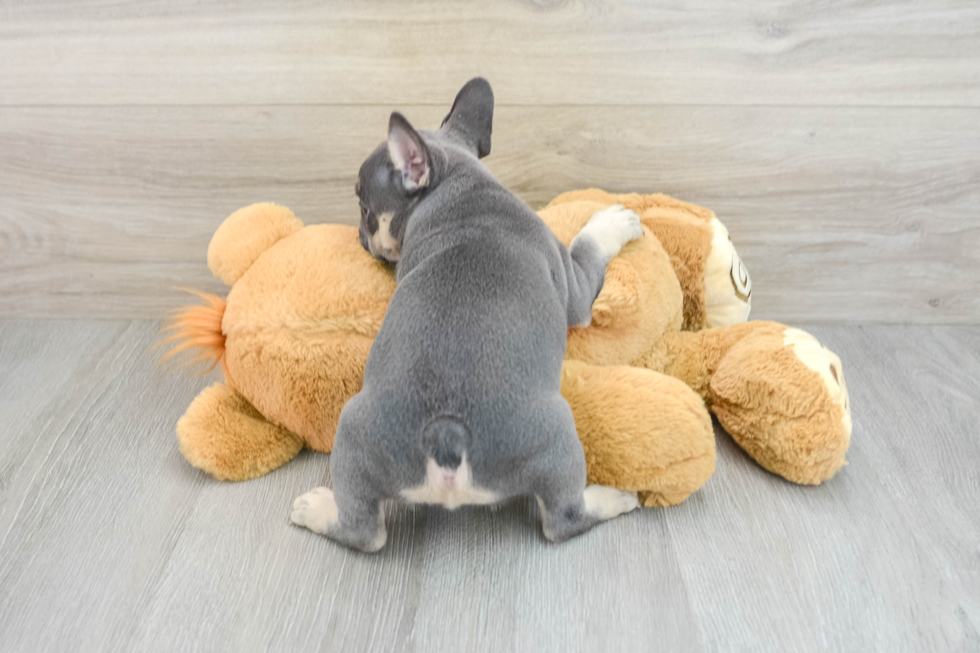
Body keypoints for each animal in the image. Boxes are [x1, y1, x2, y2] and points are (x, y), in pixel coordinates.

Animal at [288, 80, 648, 552]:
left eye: (366, 210)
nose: (360, 235)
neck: (458, 186)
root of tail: (447, 437)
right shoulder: (576, 287)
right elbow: (587, 244)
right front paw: (612, 221)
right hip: (558, 443)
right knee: (561, 521)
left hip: (352, 434)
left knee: (368, 527)